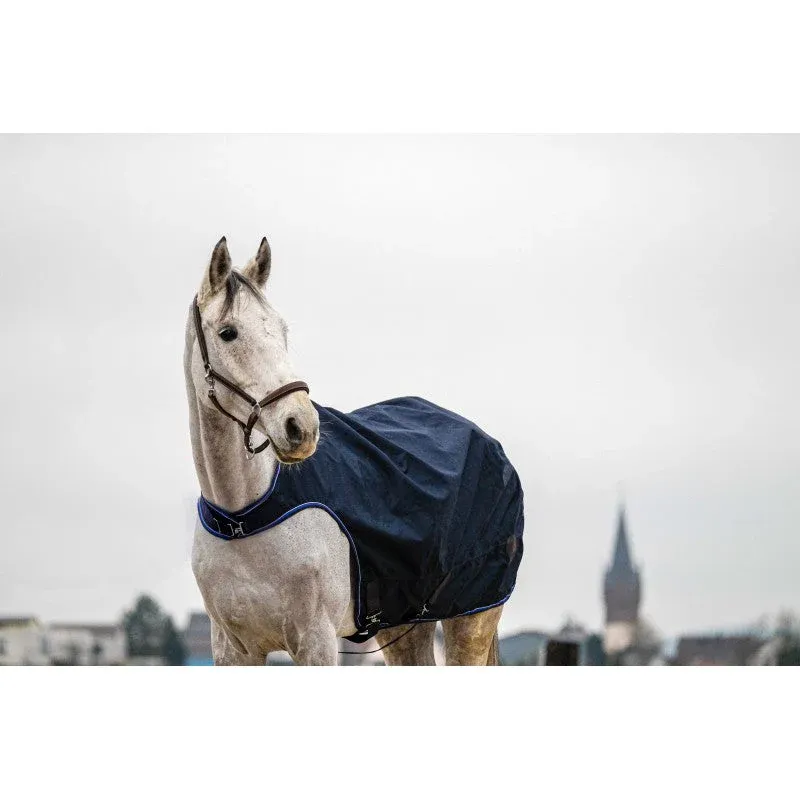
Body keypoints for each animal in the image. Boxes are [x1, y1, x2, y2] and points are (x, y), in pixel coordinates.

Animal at [185, 236, 521, 665]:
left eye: (281, 329)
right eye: (228, 332)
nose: (301, 428)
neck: (243, 516)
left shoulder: (317, 641)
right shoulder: (233, 649)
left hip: (472, 621)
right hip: (404, 625)